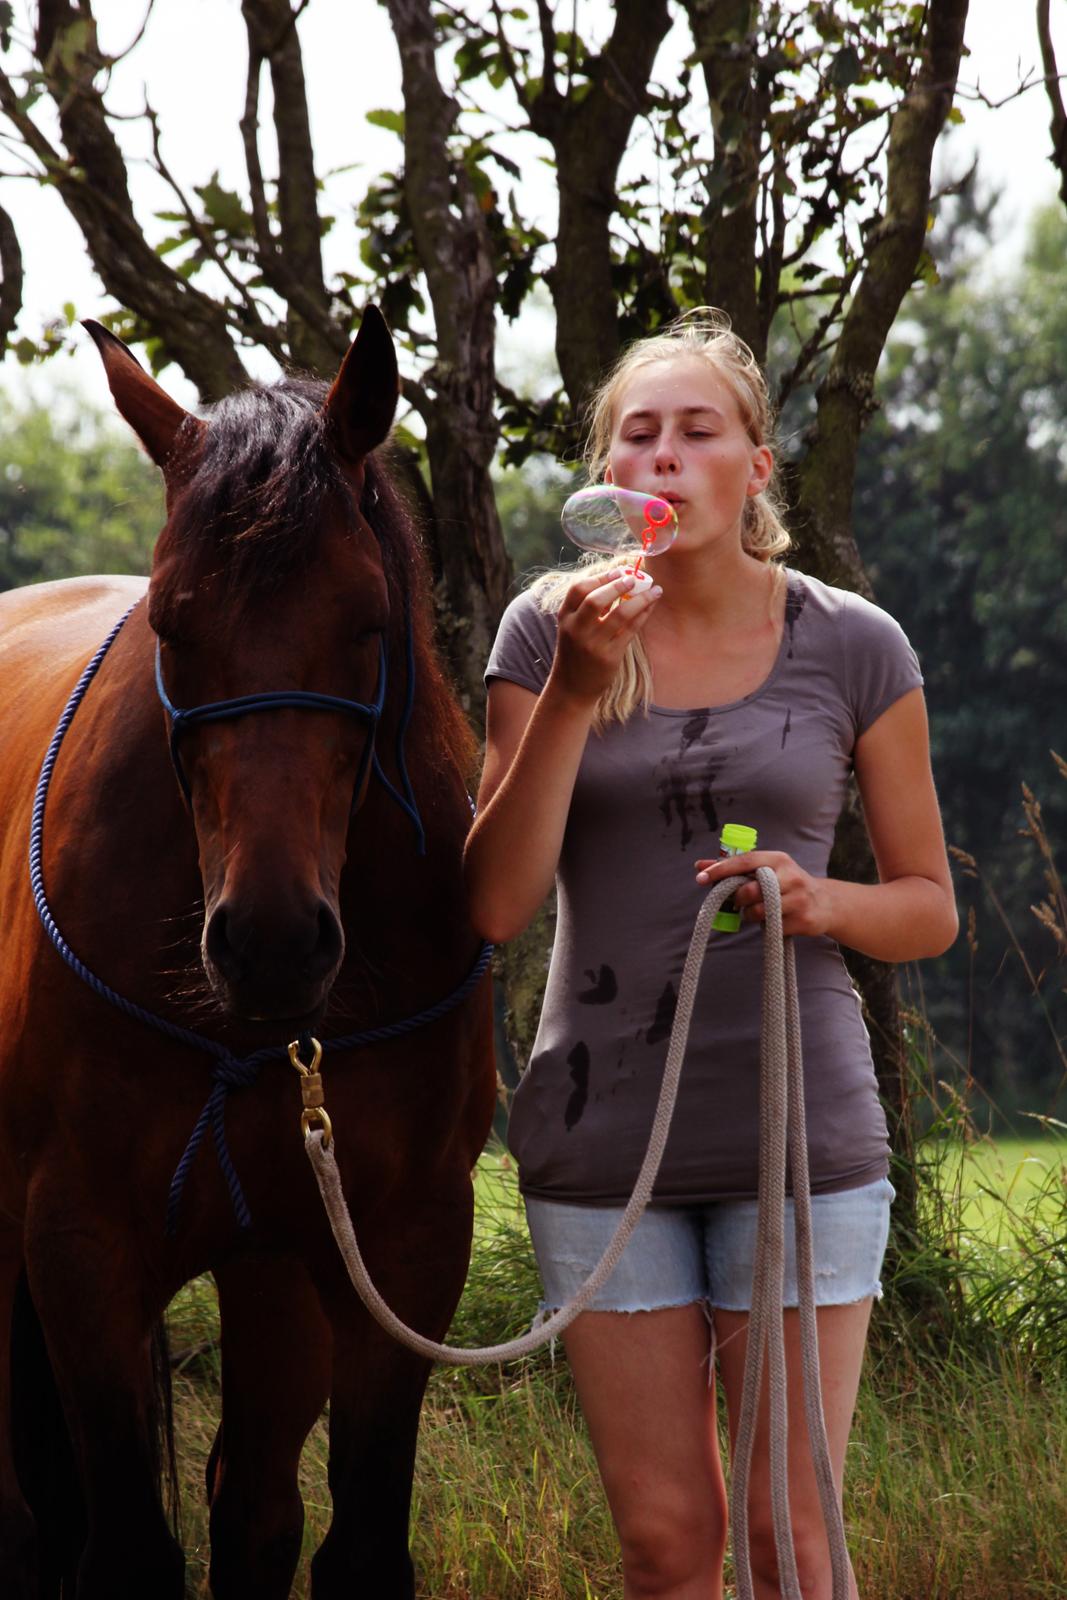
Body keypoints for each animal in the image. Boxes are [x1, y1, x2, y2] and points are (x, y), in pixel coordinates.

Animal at [0, 305, 495, 1593]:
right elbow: (123, 1549)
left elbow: (353, 1542)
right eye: (173, 622)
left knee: (255, 1506)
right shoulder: (75, 1243)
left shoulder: (398, 1248)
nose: (271, 943)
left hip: (272, 1272)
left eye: (367, 622)